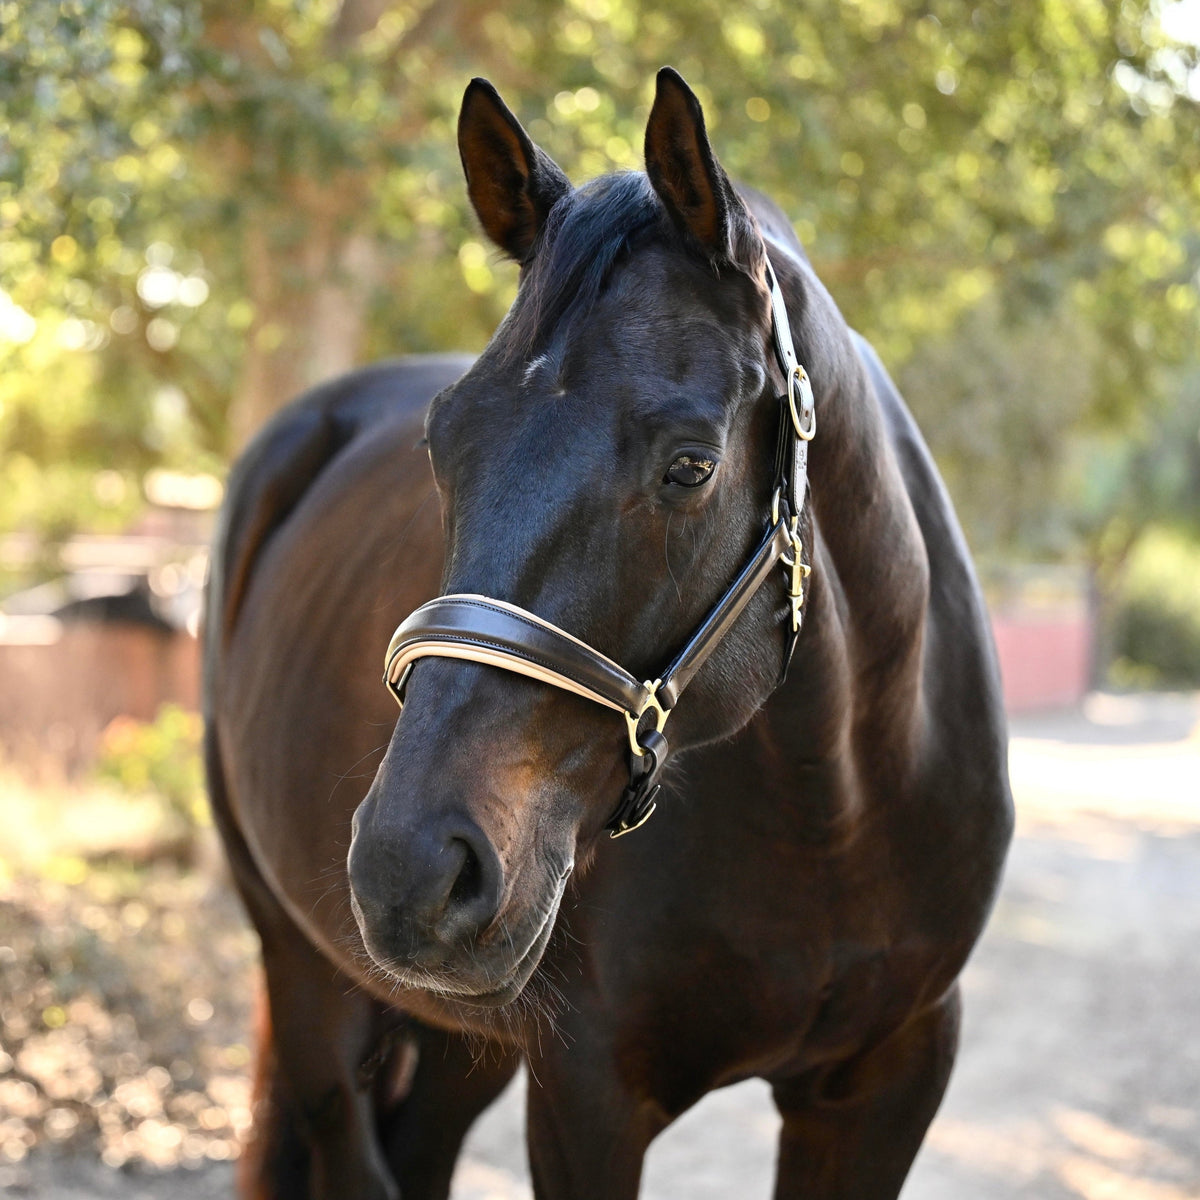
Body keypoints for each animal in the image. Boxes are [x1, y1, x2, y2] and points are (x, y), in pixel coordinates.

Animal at [204, 68, 1012, 1200]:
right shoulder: (588, 1095)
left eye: (690, 464)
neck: (835, 815)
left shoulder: (887, 1079)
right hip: (303, 968)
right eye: (442, 443)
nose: (410, 868)